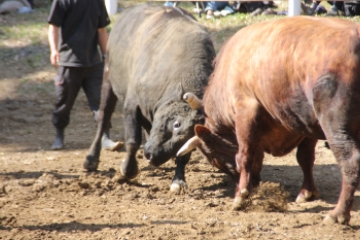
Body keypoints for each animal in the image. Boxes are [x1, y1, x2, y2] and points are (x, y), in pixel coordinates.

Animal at [83, 3, 215, 191]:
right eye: (176, 124)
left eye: (193, 138)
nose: (153, 156)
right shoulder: (132, 105)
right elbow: (132, 141)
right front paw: (128, 170)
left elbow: (183, 156)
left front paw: (178, 180)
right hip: (108, 78)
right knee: (103, 118)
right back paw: (91, 159)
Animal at [179, 17, 360, 225]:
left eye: (216, 160)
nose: (255, 184)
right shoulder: (305, 124)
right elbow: (305, 158)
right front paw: (307, 192)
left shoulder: (246, 111)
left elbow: (244, 155)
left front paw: (241, 195)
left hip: (335, 125)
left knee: (350, 161)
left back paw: (339, 214)